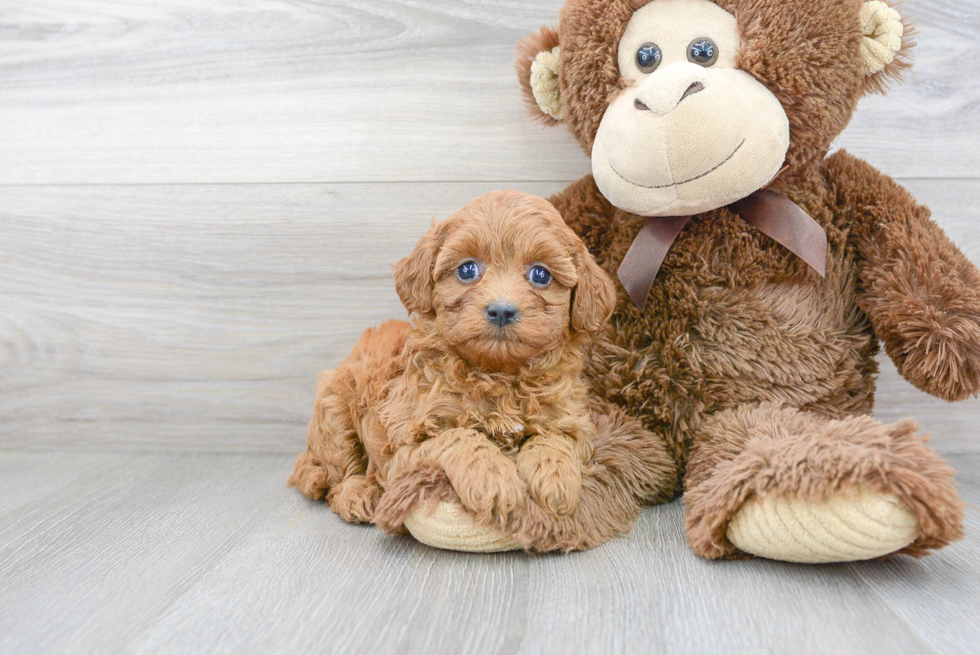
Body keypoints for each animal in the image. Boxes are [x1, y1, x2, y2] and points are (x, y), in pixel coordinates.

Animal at [288, 190, 616, 540]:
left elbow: (555, 439)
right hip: (335, 413)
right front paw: (493, 479)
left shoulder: (571, 420)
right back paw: (358, 495)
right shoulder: (404, 440)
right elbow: (458, 438)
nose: (502, 310)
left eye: (540, 275)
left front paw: (556, 479)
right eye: (467, 270)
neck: (498, 373)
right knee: (340, 473)